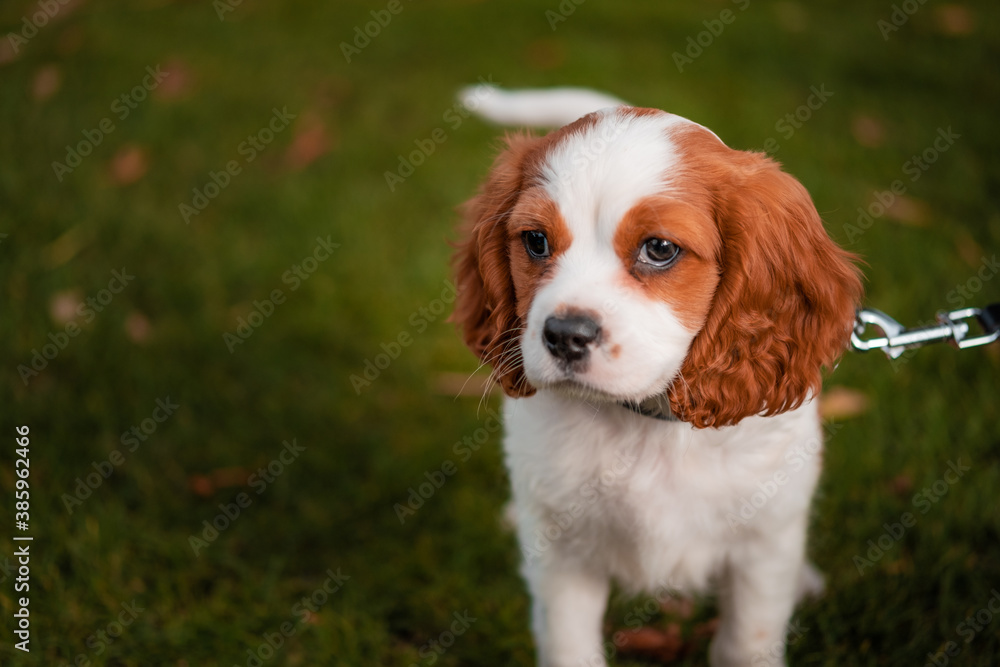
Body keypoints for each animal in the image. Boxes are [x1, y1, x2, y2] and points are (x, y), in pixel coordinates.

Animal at [452, 88, 860, 667]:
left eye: (660, 249)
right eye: (535, 241)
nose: (565, 335)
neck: (646, 423)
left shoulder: (763, 548)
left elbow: (746, 641)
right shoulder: (562, 556)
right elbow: (569, 644)